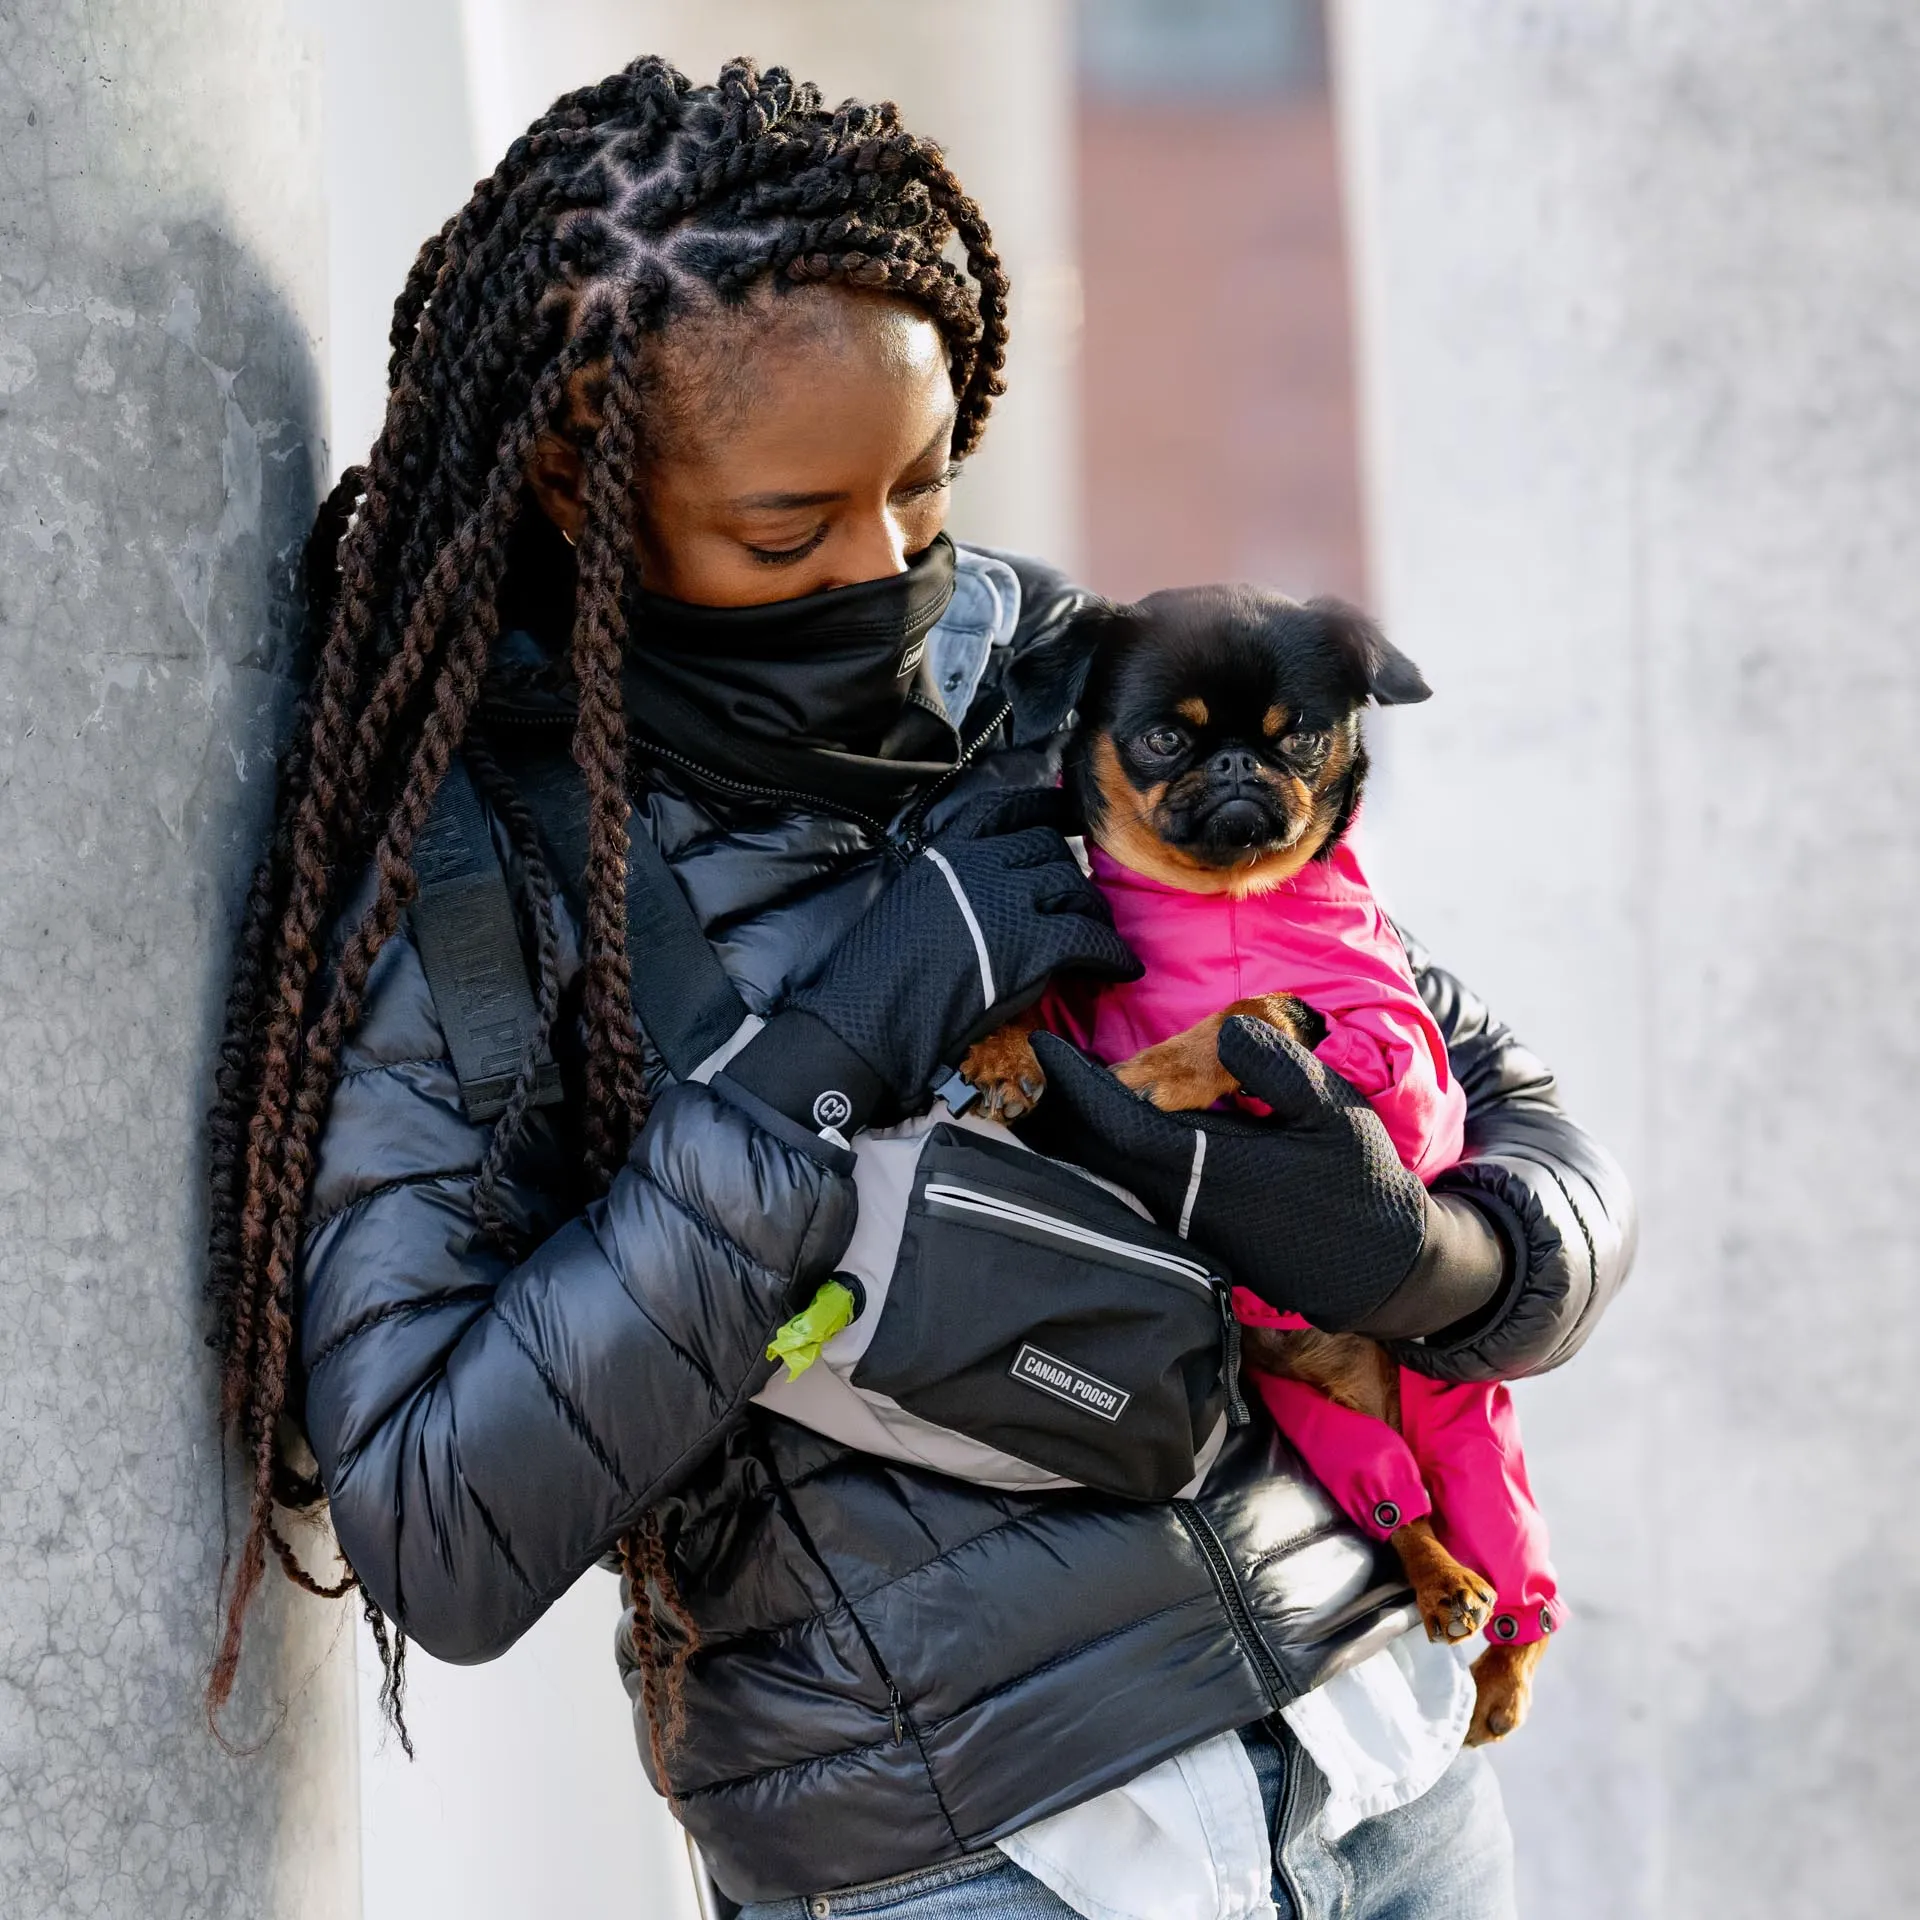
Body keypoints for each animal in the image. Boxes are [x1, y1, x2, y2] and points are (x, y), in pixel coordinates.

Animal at [967, 583, 1551, 1743]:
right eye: (1162, 739)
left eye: (1305, 738)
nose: (1241, 763)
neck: (1219, 907)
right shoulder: (1081, 1009)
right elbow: (1040, 1010)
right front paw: (1002, 1049)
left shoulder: (1382, 1049)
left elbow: (1247, 1018)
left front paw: (1155, 1074)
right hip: (1325, 1422)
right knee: (1395, 1503)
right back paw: (1437, 1581)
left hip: (1461, 1413)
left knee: (1507, 1560)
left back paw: (1499, 1666)